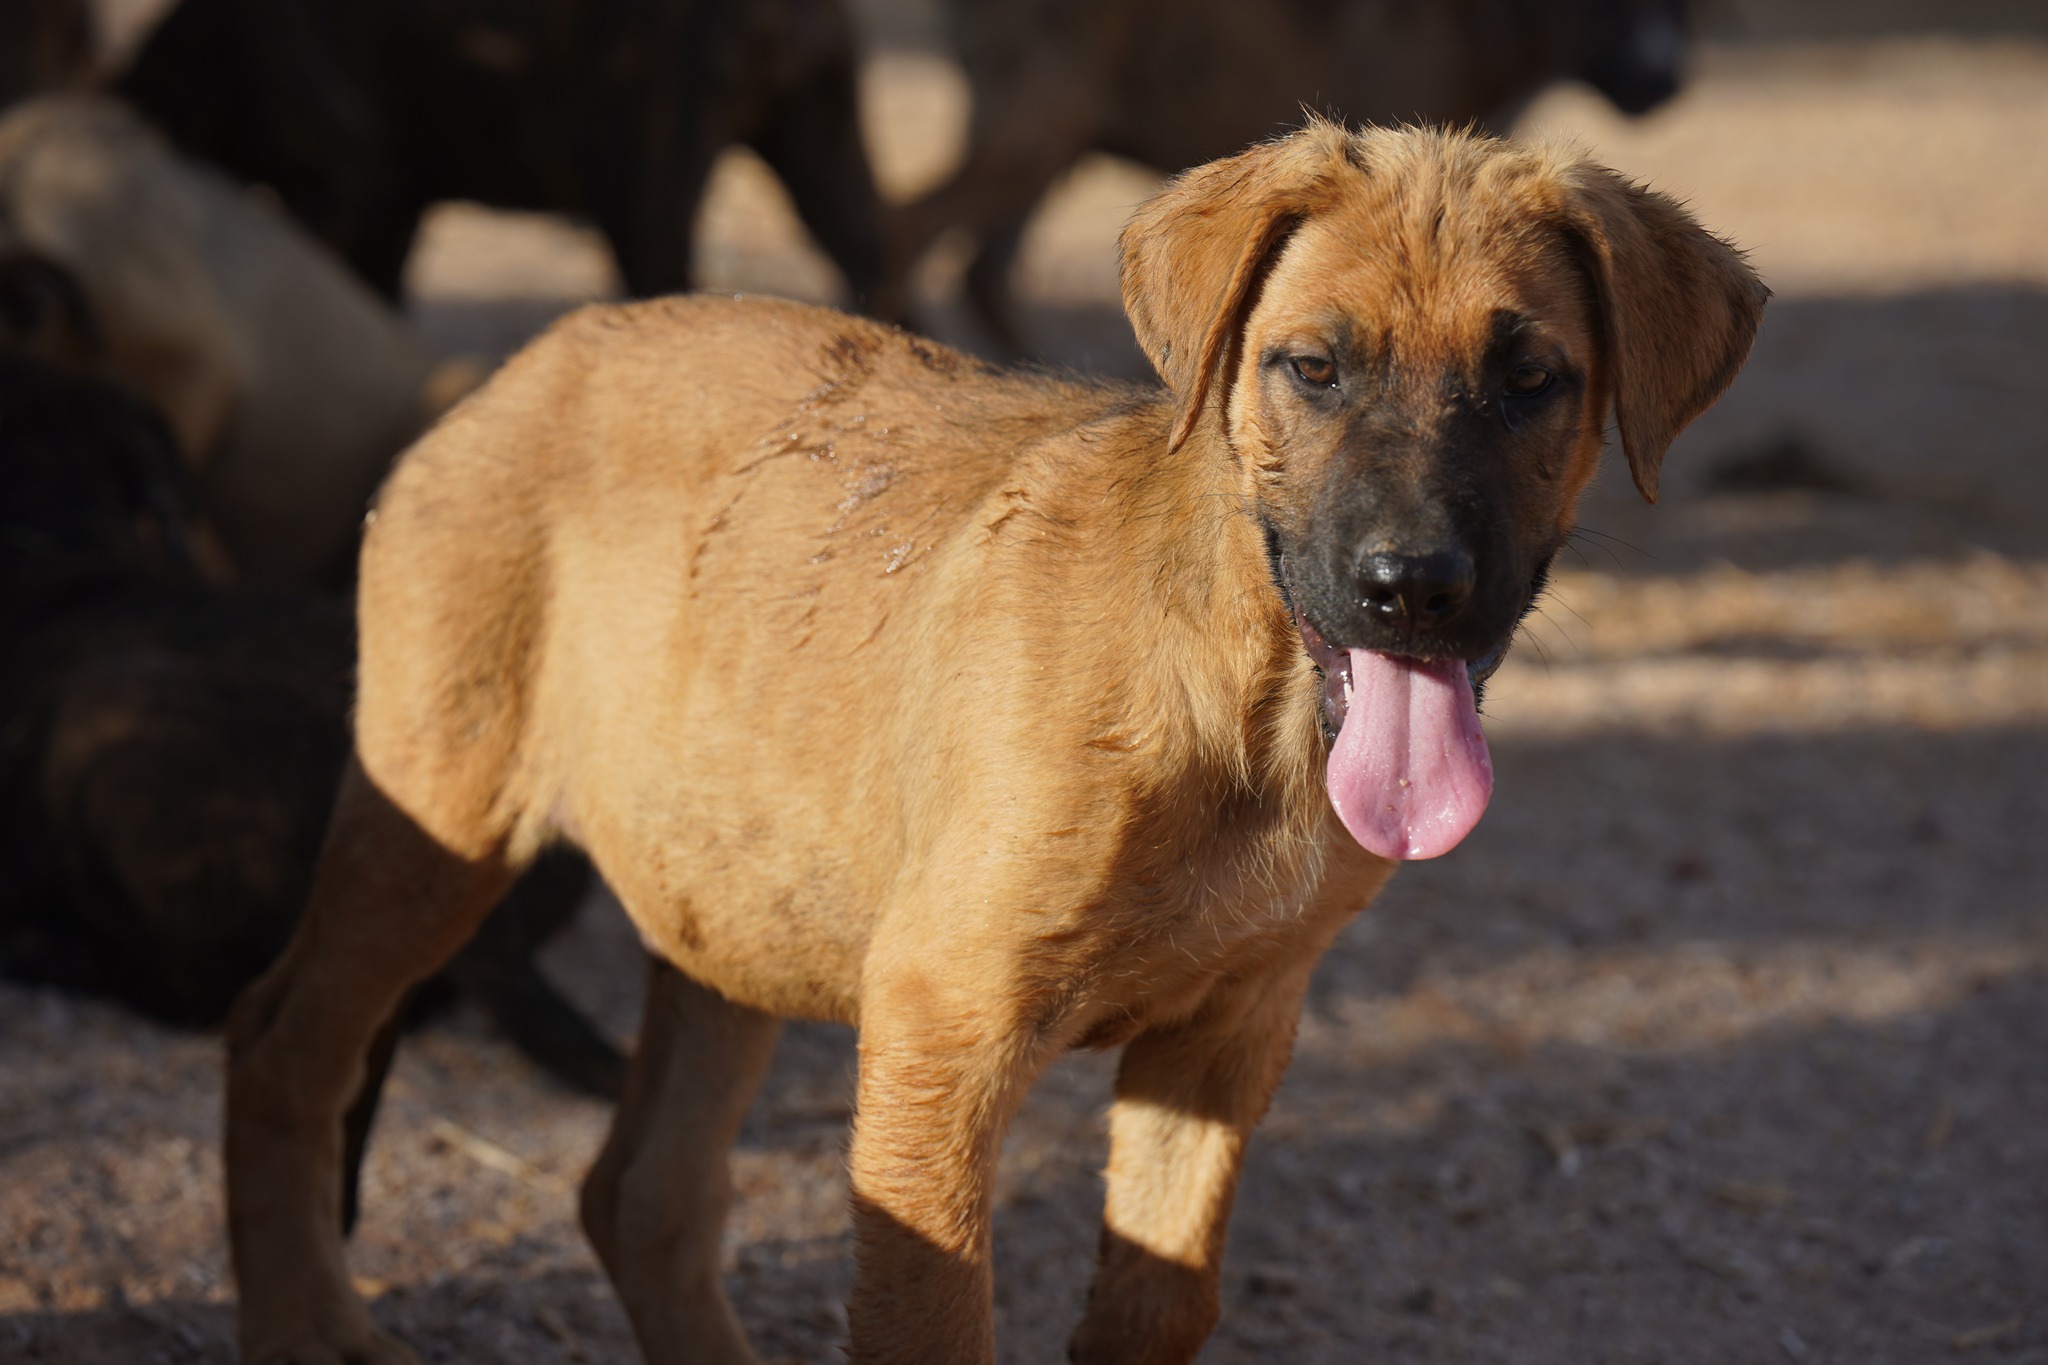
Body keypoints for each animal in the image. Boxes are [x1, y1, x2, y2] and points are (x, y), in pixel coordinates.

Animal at [220, 122, 1761, 1358]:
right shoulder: (942, 1015)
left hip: (728, 892)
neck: (1244, 712)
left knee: (642, 1193)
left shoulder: (1228, 1034)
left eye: (1531, 379)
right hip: (437, 816)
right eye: (1314, 367)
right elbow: (932, 1315)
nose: (1414, 588)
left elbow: (1157, 1303)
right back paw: (312, 1324)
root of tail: (514, 368)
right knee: (283, 1041)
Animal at [897, 0, 1695, 351]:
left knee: (979, 270)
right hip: (1034, 136)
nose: (1667, 83)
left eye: (1682, 7)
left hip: (1044, 150)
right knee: (904, 229)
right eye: (1606, 3)